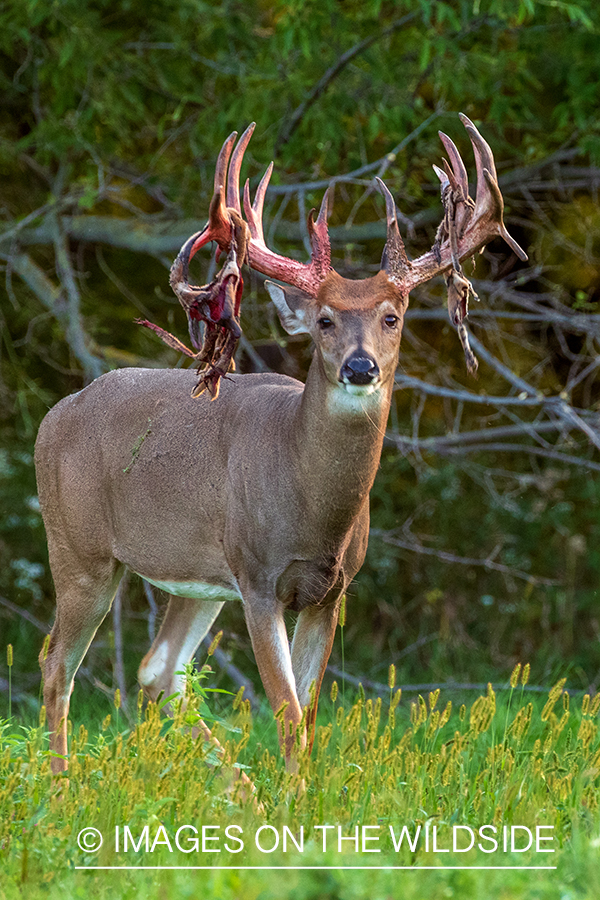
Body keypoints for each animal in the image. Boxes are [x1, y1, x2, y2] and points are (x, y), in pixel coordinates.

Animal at [35, 112, 528, 772]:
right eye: (323, 319)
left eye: (392, 317)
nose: (361, 367)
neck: (312, 506)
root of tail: (53, 417)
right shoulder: (261, 578)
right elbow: (290, 714)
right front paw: (292, 795)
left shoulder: (331, 590)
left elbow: (312, 714)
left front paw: (301, 791)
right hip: (82, 548)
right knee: (57, 664)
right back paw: (61, 782)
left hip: (199, 570)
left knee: (158, 669)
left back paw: (236, 787)